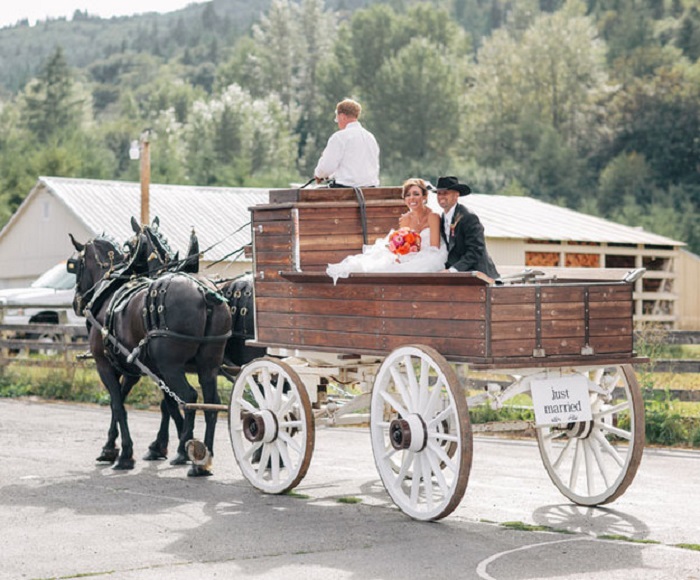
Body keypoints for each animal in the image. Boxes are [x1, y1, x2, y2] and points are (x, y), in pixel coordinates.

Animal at [69, 233, 232, 474]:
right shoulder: (134, 370)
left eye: (77, 265)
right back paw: (203, 461)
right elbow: (158, 404)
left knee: (189, 397)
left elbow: (118, 405)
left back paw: (188, 452)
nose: (76, 302)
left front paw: (126, 454)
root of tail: (204, 293)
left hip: (172, 366)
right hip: (208, 365)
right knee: (211, 404)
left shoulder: (104, 365)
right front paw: (110, 448)